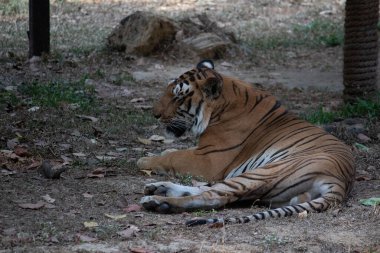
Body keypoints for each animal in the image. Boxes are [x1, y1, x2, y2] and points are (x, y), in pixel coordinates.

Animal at [137, 60, 356, 226]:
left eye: (177, 97)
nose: (155, 114)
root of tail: (341, 181)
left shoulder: (208, 159)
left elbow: (173, 156)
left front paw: (143, 161)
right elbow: (173, 152)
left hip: (263, 172)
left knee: (214, 196)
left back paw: (158, 201)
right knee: (210, 190)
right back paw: (158, 188)